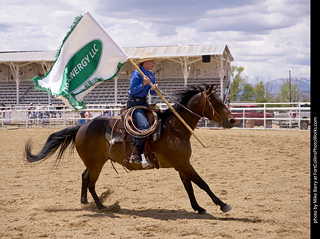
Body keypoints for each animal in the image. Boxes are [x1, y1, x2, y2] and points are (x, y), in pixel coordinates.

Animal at [25, 84, 235, 215]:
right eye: (216, 102)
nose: (232, 120)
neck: (175, 128)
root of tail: (81, 127)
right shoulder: (183, 163)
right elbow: (202, 183)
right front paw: (223, 204)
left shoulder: (182, 164)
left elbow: (189, 186)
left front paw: (198, 208)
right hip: (96, 164)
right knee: (91, 182)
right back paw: (101, 206)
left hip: (95, 162)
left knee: (84, 176)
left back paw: (86, 201)